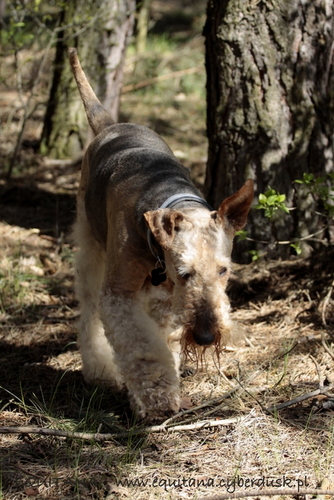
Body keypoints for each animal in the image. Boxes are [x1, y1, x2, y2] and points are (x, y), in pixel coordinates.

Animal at [69, 47, 254, 422]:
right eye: (184, 272)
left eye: (224, 270)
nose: (205, 336)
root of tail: (110, 124)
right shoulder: (120, 293)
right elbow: (143, 350)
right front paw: (158, 400)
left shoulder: (166, 300)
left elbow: (163, 341)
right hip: (90, 245)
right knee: (88, 311)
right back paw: (98, 369)